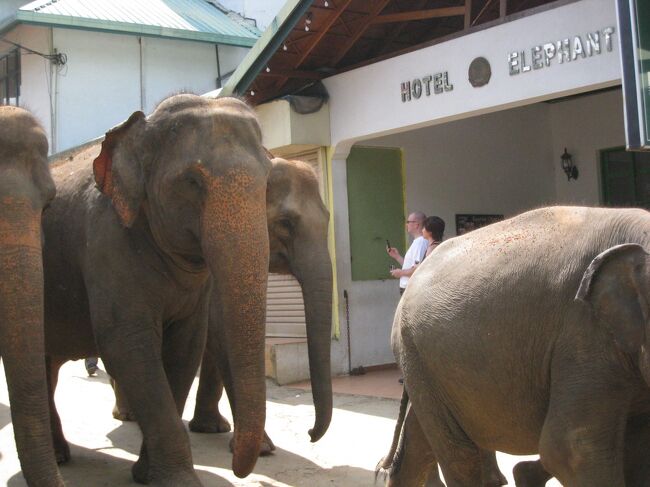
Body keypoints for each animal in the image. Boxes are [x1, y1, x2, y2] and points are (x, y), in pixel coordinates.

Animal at [43, 93, 270, 486]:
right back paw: (58, 457)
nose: (241, 469)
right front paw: (178, 480)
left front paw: (147, 474)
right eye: (191, 181)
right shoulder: (106, 242)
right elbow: (128, 345)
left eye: (269, 176)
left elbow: (186, 347)